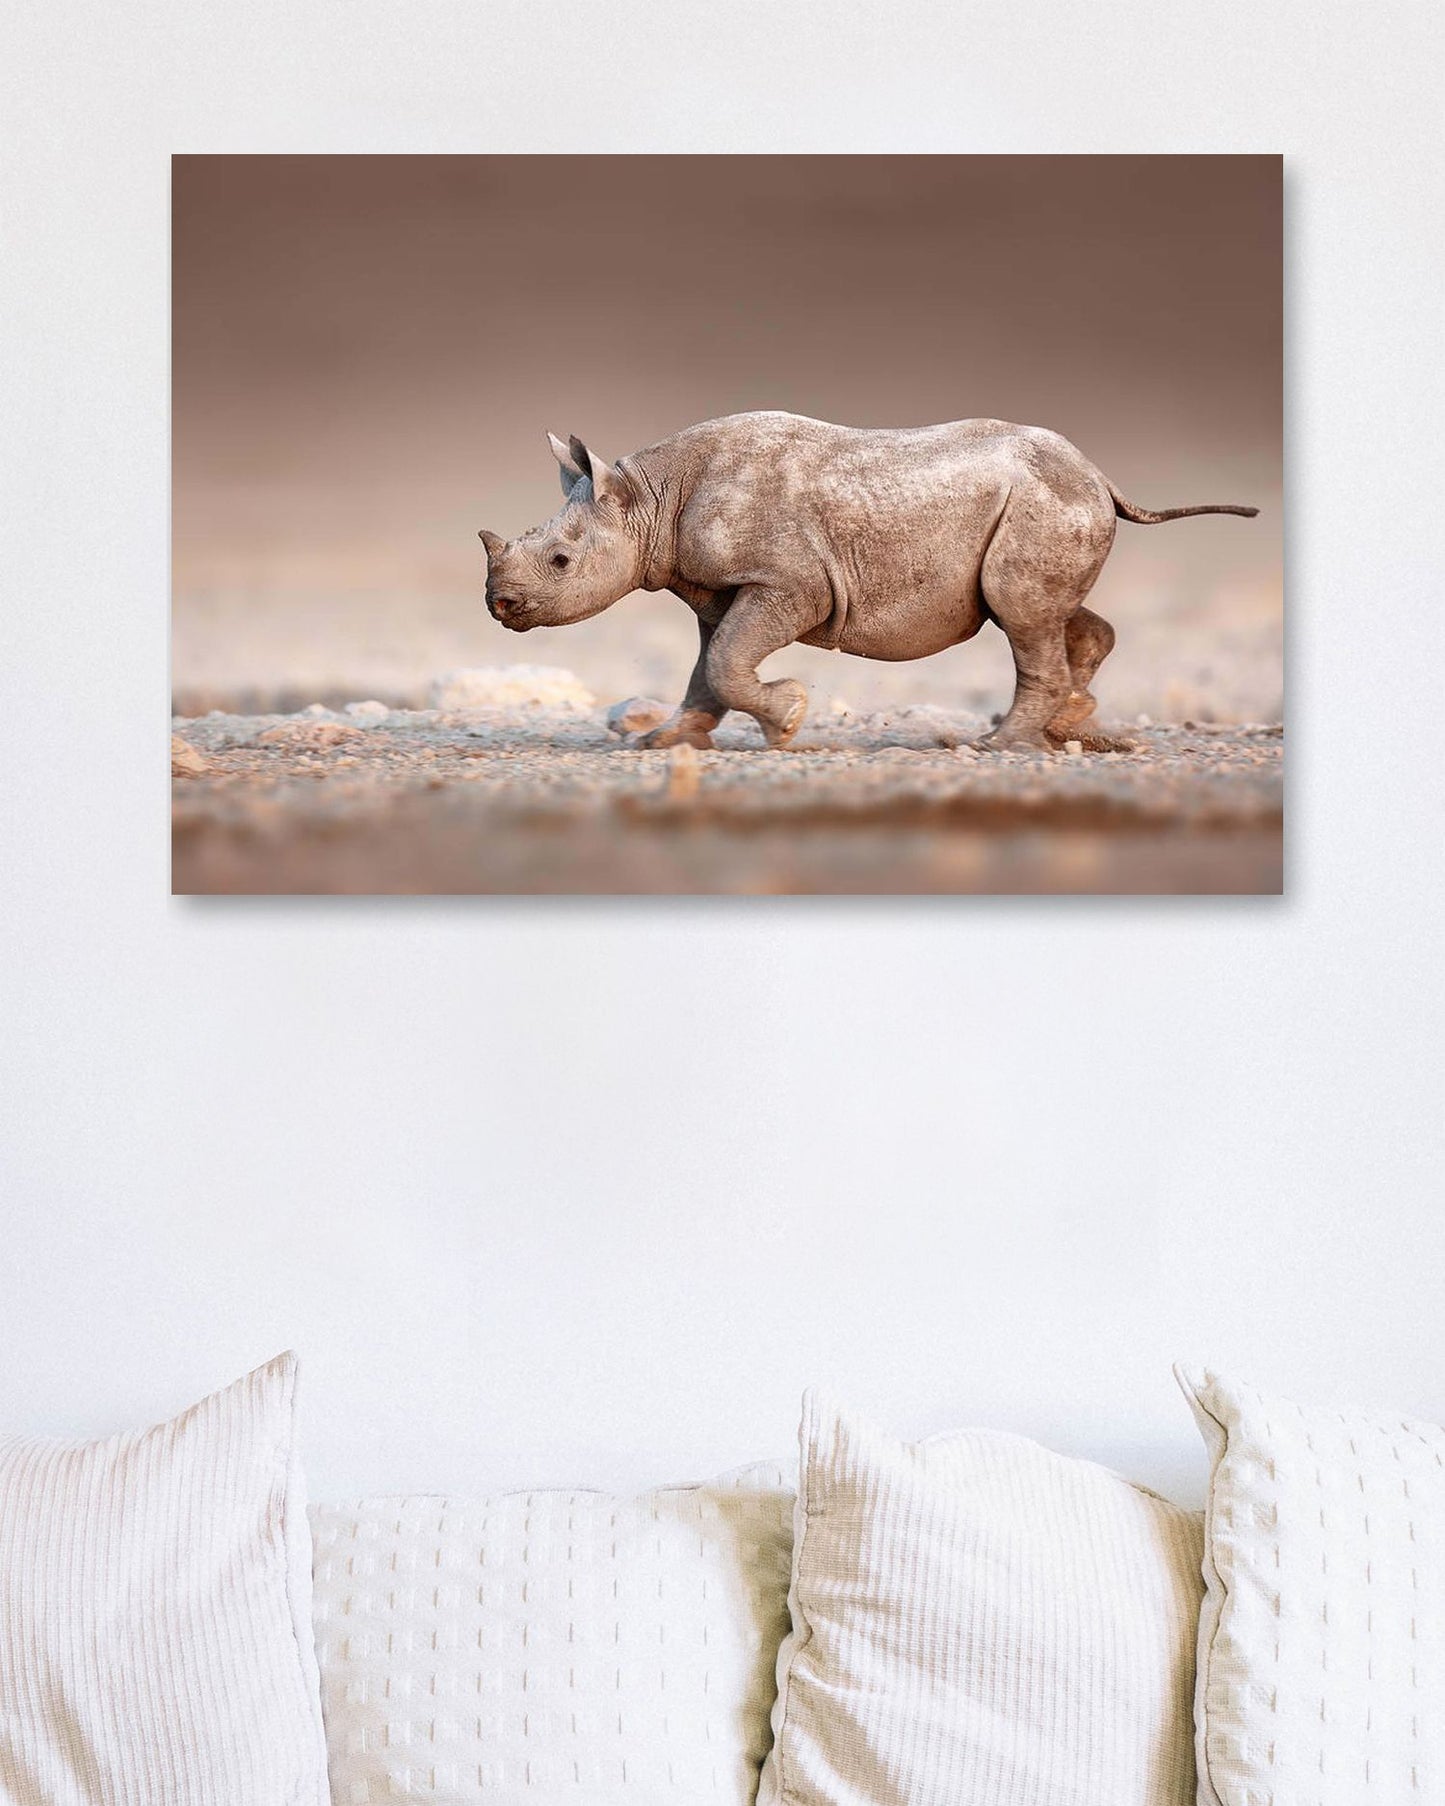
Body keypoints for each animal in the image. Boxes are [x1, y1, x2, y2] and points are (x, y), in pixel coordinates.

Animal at [478, 412, 1258, 752]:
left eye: (560, 563)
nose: (500, 606)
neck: (648, 499)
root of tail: (1100, 475)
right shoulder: (719, 592)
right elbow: (708, 667)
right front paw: (664, 744)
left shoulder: (788, 582)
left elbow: (728, 662)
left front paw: (789, 720)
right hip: (1052, 501)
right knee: (1046, 613)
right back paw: (1065, 726)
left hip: (1044, 502)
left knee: (1022, 614)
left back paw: (994, 748)